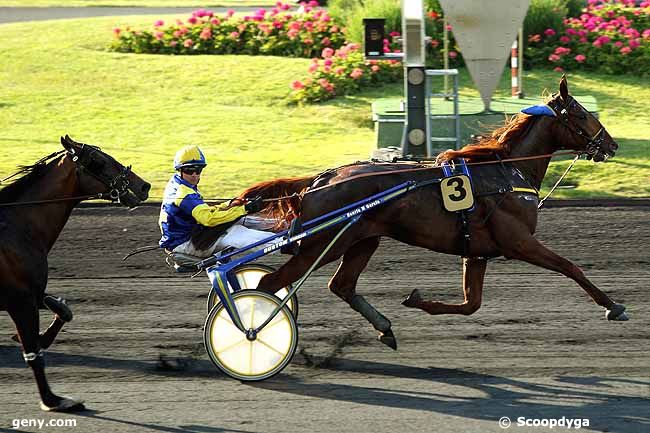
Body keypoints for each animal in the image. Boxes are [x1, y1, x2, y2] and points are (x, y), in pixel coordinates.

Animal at [0, 137, 148, 410]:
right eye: (99, 161)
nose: (144, 185)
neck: (17, 227)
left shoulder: (31, 294)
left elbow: (63, 310)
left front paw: (41, 334)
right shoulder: (19, 300)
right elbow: (34, 355)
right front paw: (53, 399)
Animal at [195, 77, 624, 348]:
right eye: (582, 114)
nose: (612, 144)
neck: (505, 171)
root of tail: (321, 179)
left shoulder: (477, 252)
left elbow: (471, 304)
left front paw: (417, 301)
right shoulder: (519, 242)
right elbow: (571, 267)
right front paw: (614, 306)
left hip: (363, 239)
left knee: (342, 285)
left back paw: (385, 329)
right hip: (324, 243)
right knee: (272, 285)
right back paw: (257, 331)